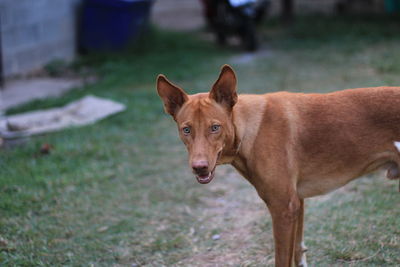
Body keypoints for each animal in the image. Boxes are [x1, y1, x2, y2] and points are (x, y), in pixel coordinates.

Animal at [156, 65, 400, 267]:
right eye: (186, 130)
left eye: (215, 127)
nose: (200, 167)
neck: (249, 129)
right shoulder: (297, 203)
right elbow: (299, 253)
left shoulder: (283, 208)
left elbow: (282, 260)